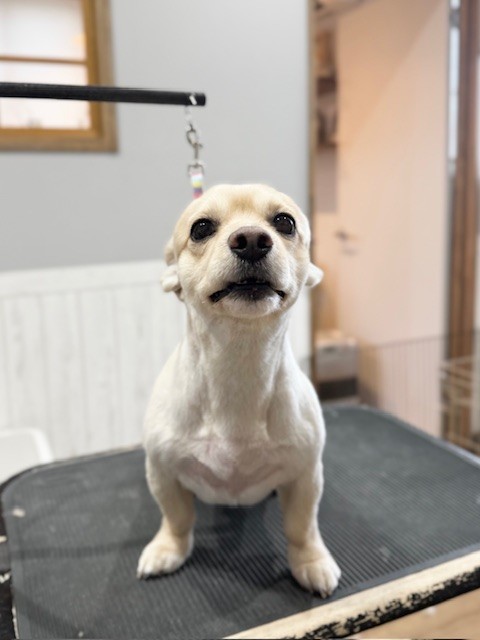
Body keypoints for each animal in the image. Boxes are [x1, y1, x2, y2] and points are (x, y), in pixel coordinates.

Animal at [137, 184, 341, 596]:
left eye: (285, 222)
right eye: (200, 228)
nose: (251, 240)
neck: (238, 365)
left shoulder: (306, 474)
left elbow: (302, 526)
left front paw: (311, 562)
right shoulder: (162, 472)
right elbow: (176, 517)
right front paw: (168, 548)